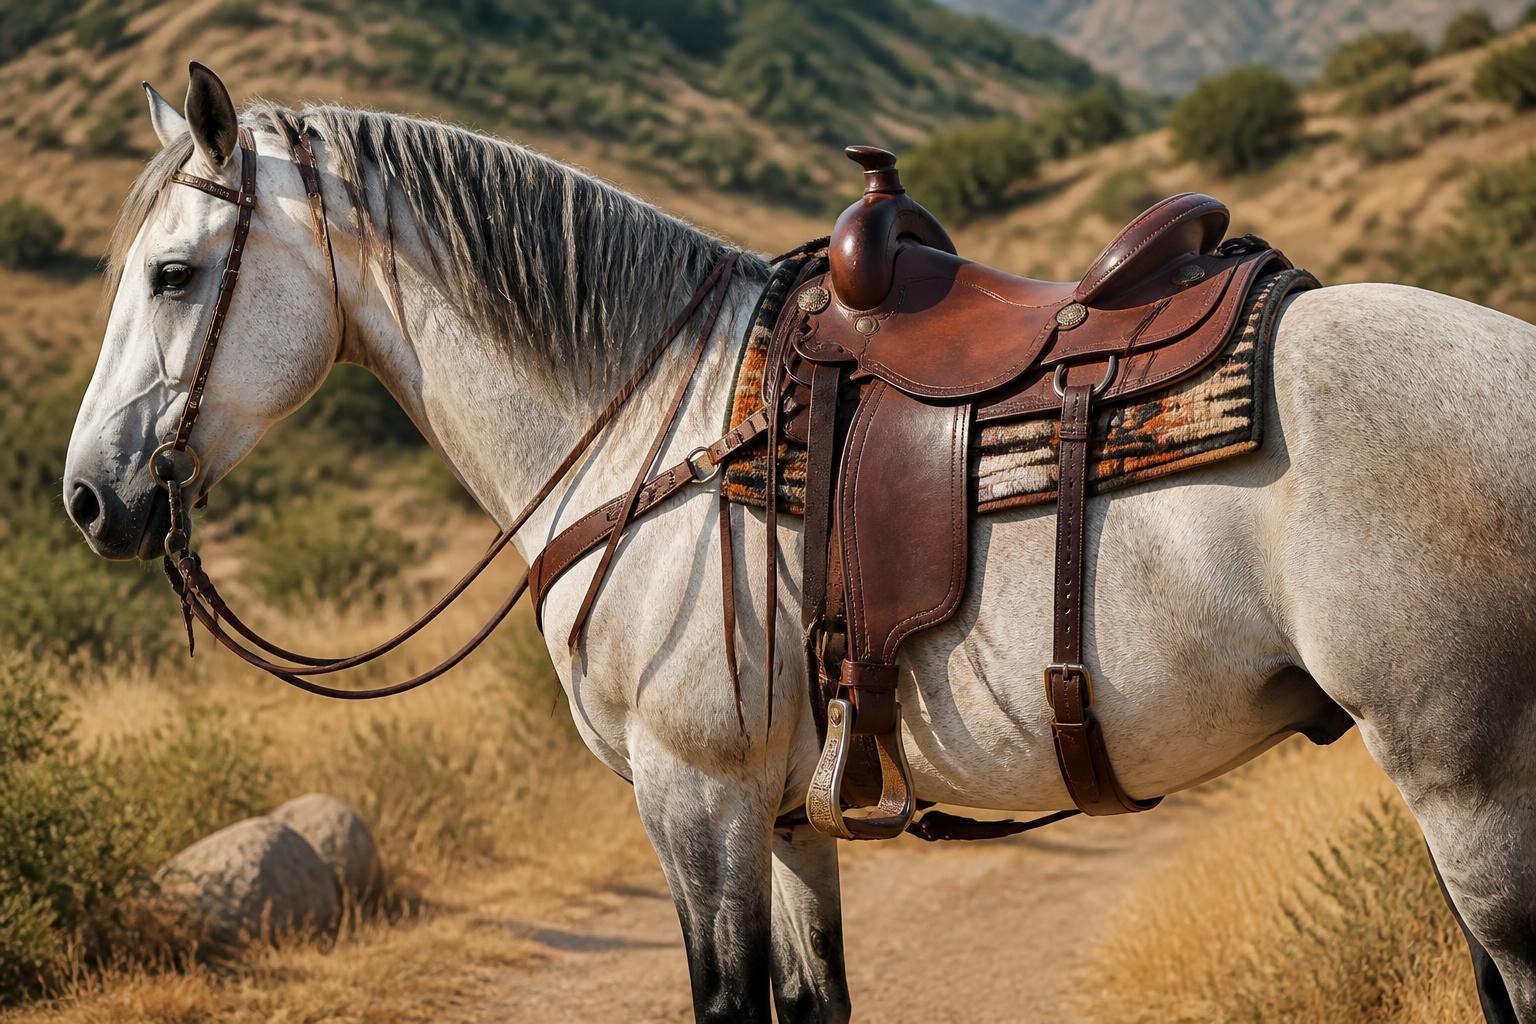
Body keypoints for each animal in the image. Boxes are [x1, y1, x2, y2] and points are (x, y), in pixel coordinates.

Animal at [63, 64, 1536, 1022]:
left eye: (174, 276)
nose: (88, 497)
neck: (657, 423)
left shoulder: (696, 794)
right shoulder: (784, 817)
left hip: (1472, 782)